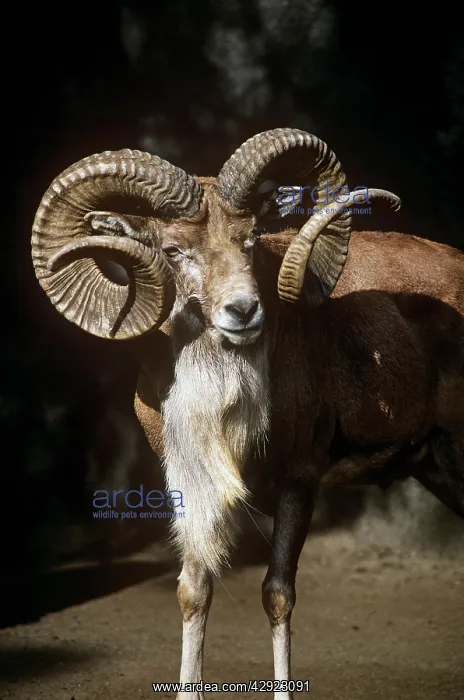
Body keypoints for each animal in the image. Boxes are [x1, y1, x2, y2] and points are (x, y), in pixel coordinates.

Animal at [31, 129, 464, 699]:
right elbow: (194, 591)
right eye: (173, 250)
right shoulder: (191, 486)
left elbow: (277, 594)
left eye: (252, 239)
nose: (243, 311)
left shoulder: (298, 482)